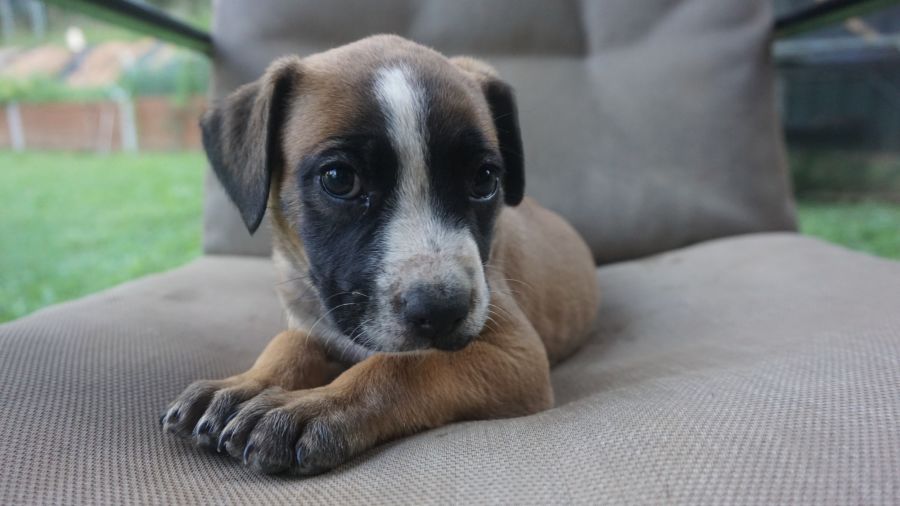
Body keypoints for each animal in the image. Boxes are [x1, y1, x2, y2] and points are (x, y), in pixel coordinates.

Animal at [161, 35, 599, 476]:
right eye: (339, 178)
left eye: (485, 178)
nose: (442, 311)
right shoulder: (314, 321)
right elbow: (289, 343)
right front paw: (244, 384)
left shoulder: (518, 356)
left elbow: (403, 365)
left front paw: (316, 405)